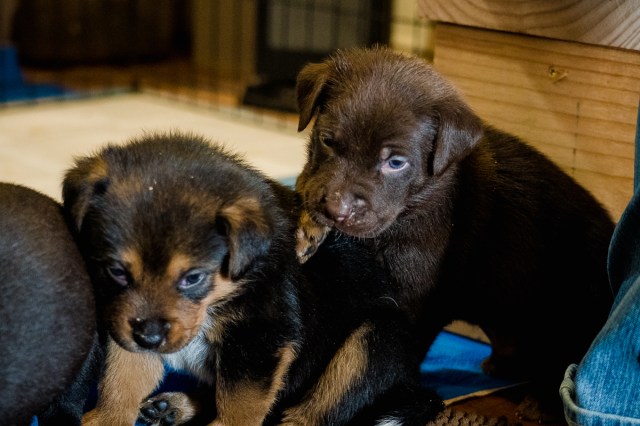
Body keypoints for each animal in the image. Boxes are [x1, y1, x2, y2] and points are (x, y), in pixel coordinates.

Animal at [62, 132, 443, 426]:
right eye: (116, 271)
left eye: (193, 278)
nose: (150, 337)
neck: (219, 297)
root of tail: (412, 385)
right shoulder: (123, 322)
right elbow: (122, 379)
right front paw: (108, 418)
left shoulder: (260, 337)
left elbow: (240, 402)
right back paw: (172, 407)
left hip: (375, 339)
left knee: (317, 409)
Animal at [294, 47, 617, 422]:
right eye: (327, 141)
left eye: (396, 163)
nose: (338, 211)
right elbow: (307, 181)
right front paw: (307, 226)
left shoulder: (418, 300)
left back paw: (538, 402)